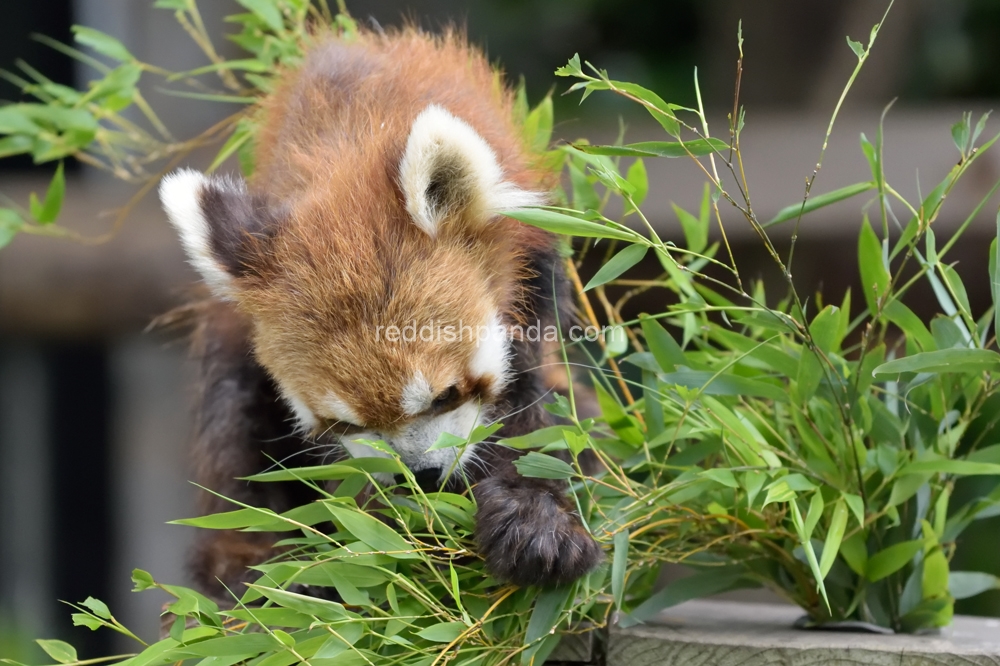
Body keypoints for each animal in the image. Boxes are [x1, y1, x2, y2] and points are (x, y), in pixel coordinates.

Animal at [158, 24, 600, 596]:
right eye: (343, 424)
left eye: (445, 395)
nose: (422, 476)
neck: (352, 137)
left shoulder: (533, 278)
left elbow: (531, 414)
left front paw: (536, 526)